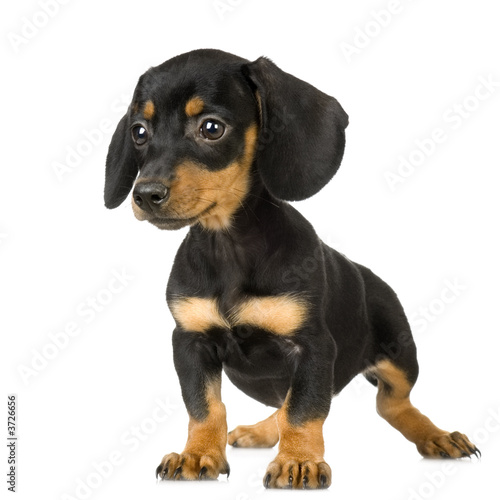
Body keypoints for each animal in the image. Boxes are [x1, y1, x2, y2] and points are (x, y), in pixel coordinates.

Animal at [103, 49, 478, 488]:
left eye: (211, 128)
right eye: (139, 132)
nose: (146, 194)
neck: (229, 247)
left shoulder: (313, 347)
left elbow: (303, 410)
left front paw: (299, 462)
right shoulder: (190, 342)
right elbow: (205, 407)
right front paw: (198, 454)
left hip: (400, 353)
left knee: (392, 404)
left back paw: (437, 436)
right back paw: (261, 431)